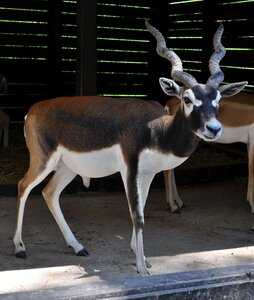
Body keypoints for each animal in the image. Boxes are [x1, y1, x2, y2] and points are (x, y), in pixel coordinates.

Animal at [13, 19, 246, 276]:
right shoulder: (129, 169)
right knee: (23, 186)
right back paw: (19, 248)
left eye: (218, 100)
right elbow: (137, 215)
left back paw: (77, 246)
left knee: (49, 193)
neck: (156, 130)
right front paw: (141, 269)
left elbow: (142, 209)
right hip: (43, 161)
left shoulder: (148, 173)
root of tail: (33, 110)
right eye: (187, 99)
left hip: (67, 167)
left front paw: (141, 257)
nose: (214, 128)